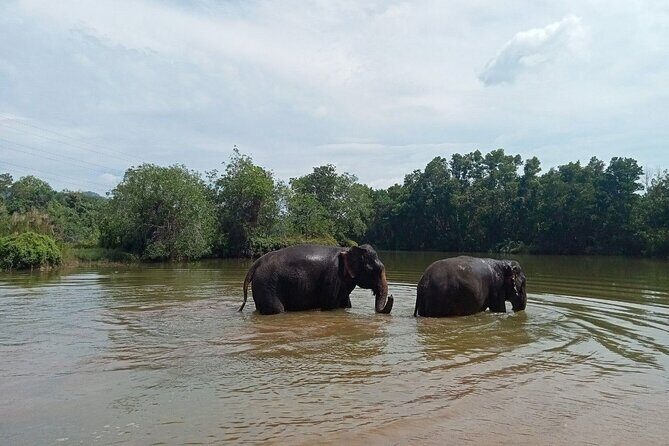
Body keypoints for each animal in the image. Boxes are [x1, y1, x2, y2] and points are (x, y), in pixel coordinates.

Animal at [238, 244, 394, 315]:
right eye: (376, 270)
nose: (391, 296)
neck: (347, 249)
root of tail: (256, 263)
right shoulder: (332, 277)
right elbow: (329, 305)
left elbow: (346, 304)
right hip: (267, 285)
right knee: (277, 310)